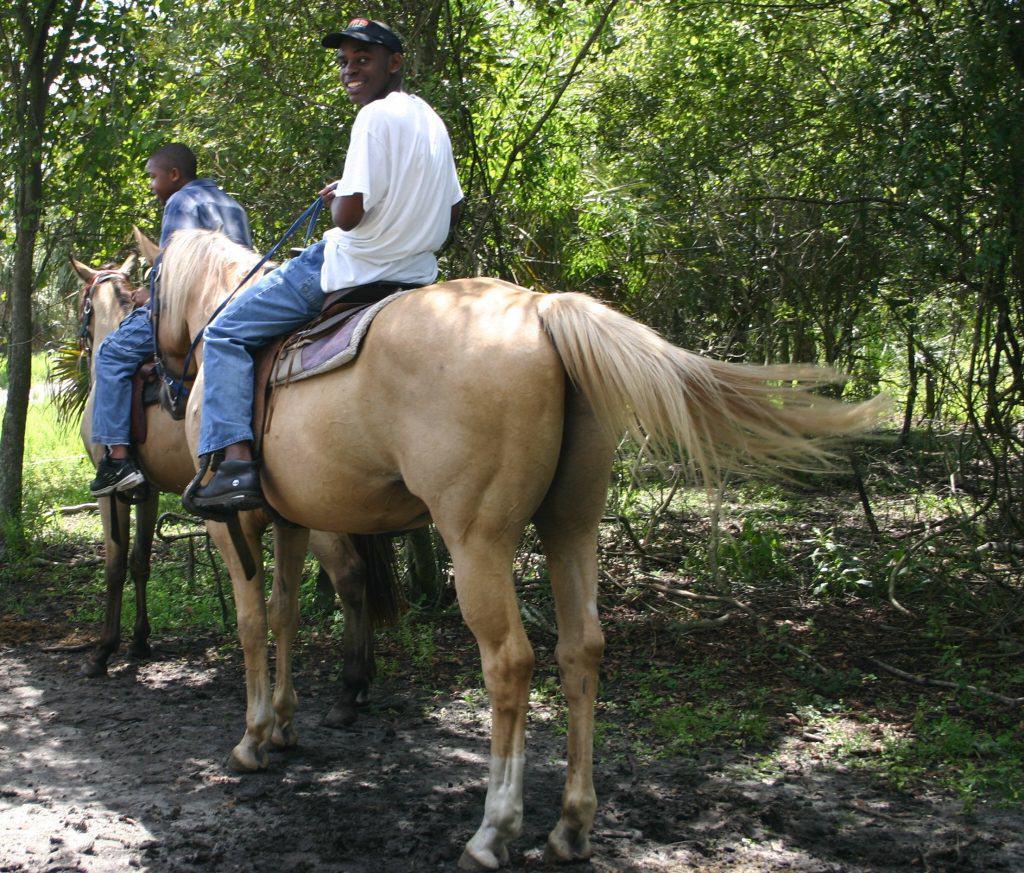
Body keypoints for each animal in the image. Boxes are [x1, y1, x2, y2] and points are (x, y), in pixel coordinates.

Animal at [70, 246, 397, 728]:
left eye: (82, 305)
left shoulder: (109, 492)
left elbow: (113, 566)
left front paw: (102, 651)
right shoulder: (148, 492)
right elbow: (139, 562)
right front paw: (140, 642)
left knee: (350, 577)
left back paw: (348, 689)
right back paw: (360, 683)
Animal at [155, 228, 884, 867]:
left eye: (139, 287)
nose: (161, 377)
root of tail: (540, 310)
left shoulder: (233, 525)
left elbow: (251, 623)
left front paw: (253, 738)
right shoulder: (290, 521)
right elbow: (284, 615)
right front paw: (282, 725)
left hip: (477, 541)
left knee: (509, 661)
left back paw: (493, 831)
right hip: (572, 525)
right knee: (581, 648)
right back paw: (571, 826)